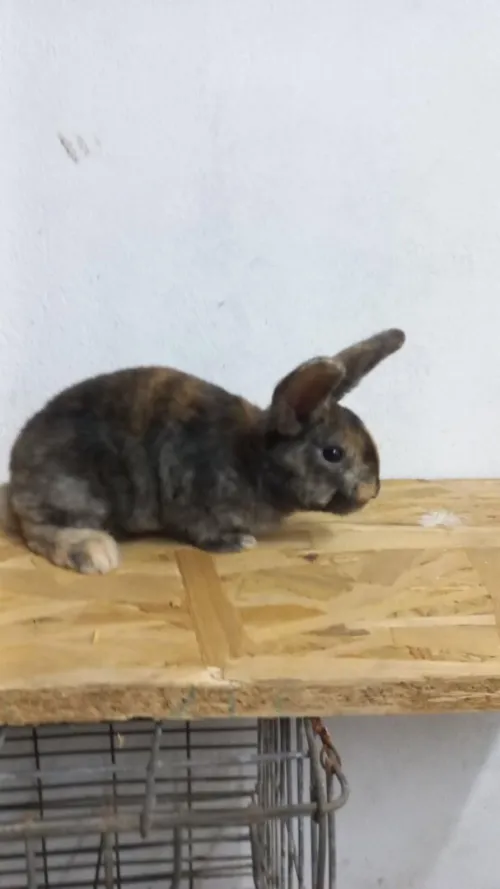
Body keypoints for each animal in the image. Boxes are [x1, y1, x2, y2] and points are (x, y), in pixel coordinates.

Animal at [8, 328, 405, 574]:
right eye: (333, 454)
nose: (373, 490)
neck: (253, 460)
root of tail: (16, 466)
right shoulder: (197, 507)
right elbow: (204, 534)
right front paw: (238, 543)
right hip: (76, 492)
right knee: (39, 530)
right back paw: (94, 553)